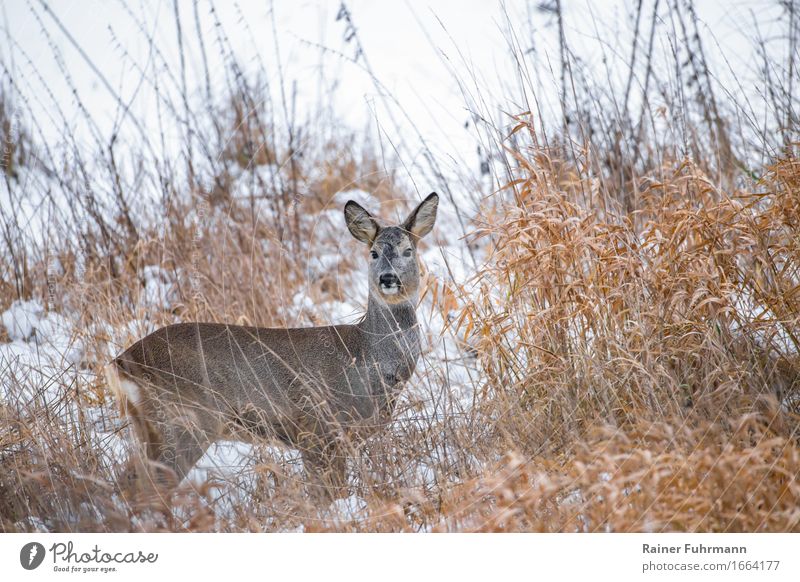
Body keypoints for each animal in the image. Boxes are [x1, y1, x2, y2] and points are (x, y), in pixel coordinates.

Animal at [104, 194, 440, 500]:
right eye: (373, 253)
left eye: (408, 251)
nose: (388, 278)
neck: (369, 358)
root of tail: (122, 363)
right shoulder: (318, 428)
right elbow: (325, 495)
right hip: (185, 421)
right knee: (148, 490)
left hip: (154, 428)